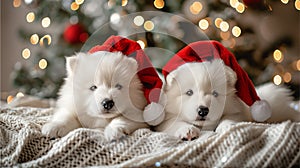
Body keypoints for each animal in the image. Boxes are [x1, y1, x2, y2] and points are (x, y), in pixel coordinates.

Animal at [156, 59, 298, 140]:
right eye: (189, 92)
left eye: (215, 93)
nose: (203, 110)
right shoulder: (165, 119)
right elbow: (175, 122)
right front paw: (188, 130)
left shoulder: (237, 111)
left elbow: (228, 118)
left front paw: (228, 126)